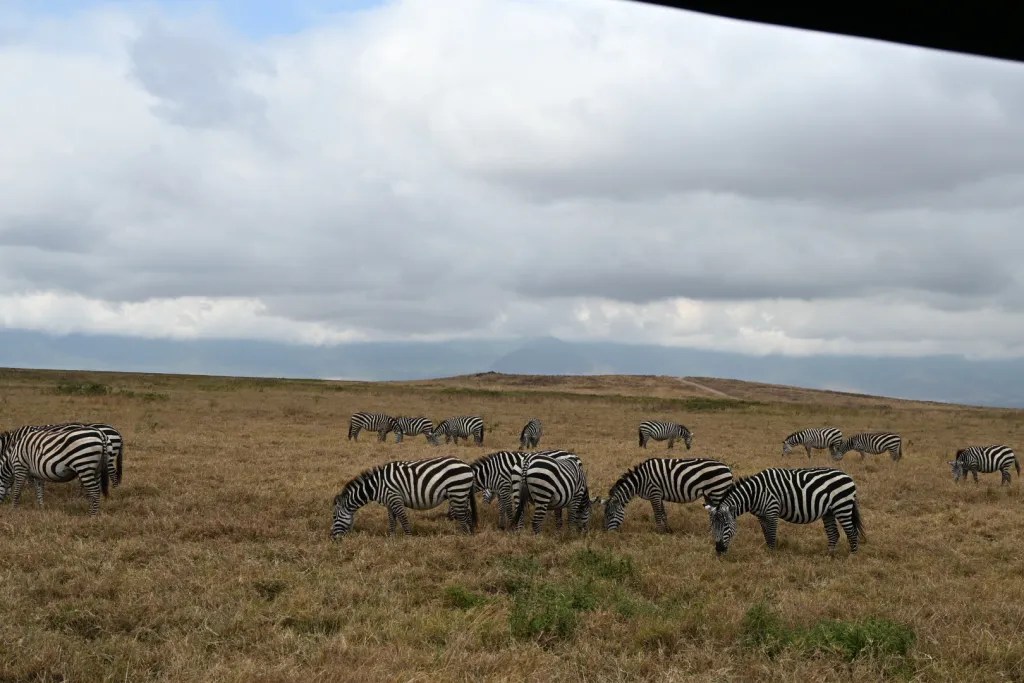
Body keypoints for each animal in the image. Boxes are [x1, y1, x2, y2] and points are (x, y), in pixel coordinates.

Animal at [330, 456, 477, 538]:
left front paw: (408, 539)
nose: (332, 537)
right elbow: (392, 522)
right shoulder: (389, 503)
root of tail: (466, 465)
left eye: (334, 517)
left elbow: (403, 519)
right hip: (461, 494)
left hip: (457, 491)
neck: (376, 486)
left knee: (463, 515)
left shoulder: (395, 498)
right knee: (467, 514)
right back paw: (471, 535)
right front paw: (391, 539)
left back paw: (463, 537)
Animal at [603, 458, 734, 533]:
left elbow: (657, 514)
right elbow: (663, 513)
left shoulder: (654, 493)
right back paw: (711, 532)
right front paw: (667, 530)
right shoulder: (659, 495)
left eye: (610, 515)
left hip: (718, 492)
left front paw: (659, 532)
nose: (606, 534)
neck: (641, 480)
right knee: (712, 514)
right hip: (709, 495)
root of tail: (727, 468)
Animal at [705, 467, 865, 555]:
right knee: (833, 533)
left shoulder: (772, 512)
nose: (719, 550)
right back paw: (829, 555)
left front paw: (772, 555)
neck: (755, 493)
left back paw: (852, 556)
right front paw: (768, 552)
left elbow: (771, 534)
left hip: (842, 507)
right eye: (712, 527)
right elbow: (766, 534)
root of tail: (847, 475)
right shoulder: (761, 516)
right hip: (829, 511)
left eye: (726, 526)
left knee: (851, 532)